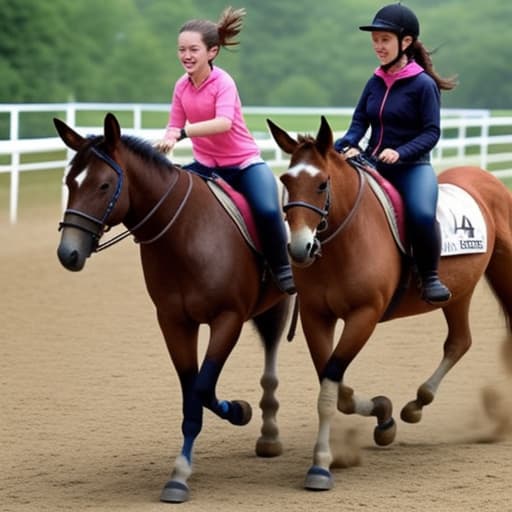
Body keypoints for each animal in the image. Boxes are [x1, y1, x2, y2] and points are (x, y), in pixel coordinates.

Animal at [54, 113, 292, 504]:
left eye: (104, 185)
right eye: (69, 182)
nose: (68, 252)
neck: (183, 232)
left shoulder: (228, 319)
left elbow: (203, 389)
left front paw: (237, 412)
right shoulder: (173, 323)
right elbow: (192, 395)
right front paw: (180, 473)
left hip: (275, 306)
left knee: (271, 362)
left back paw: (270, 435)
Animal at [266, 115, 512, 492]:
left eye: (322, 184)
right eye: (285, 181)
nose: (299, 248)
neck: (347, 240)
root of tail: (487, 179)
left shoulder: (364, 316)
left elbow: (330, 390)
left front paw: (321, 465)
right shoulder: (315, 316)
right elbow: (335, 387)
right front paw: (383, 415)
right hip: (459, 291)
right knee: (460, 341)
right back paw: (416, 404)